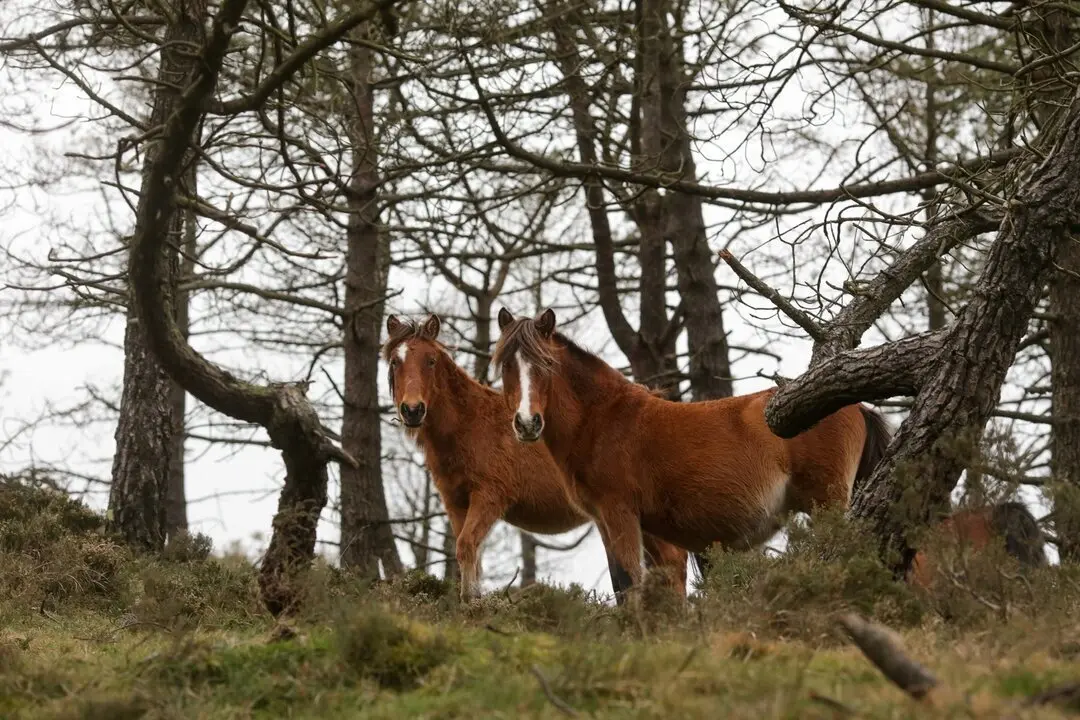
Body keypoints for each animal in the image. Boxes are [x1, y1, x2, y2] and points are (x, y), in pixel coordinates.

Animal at [382, 313, 688, 602]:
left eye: (431, 360)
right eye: (395, 362)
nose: (412, 410)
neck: (470, 424)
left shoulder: (489, 498)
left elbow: (467, 547)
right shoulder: (456, 503)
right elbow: (470, 556)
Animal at [492, 307, 892, 590]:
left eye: (546, 365)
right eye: (506, 365)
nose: (527, 423)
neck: (603, 417)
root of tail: (856, 405)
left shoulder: (619, 514)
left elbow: (629, 585)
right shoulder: (625, 526)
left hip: (828, 502)